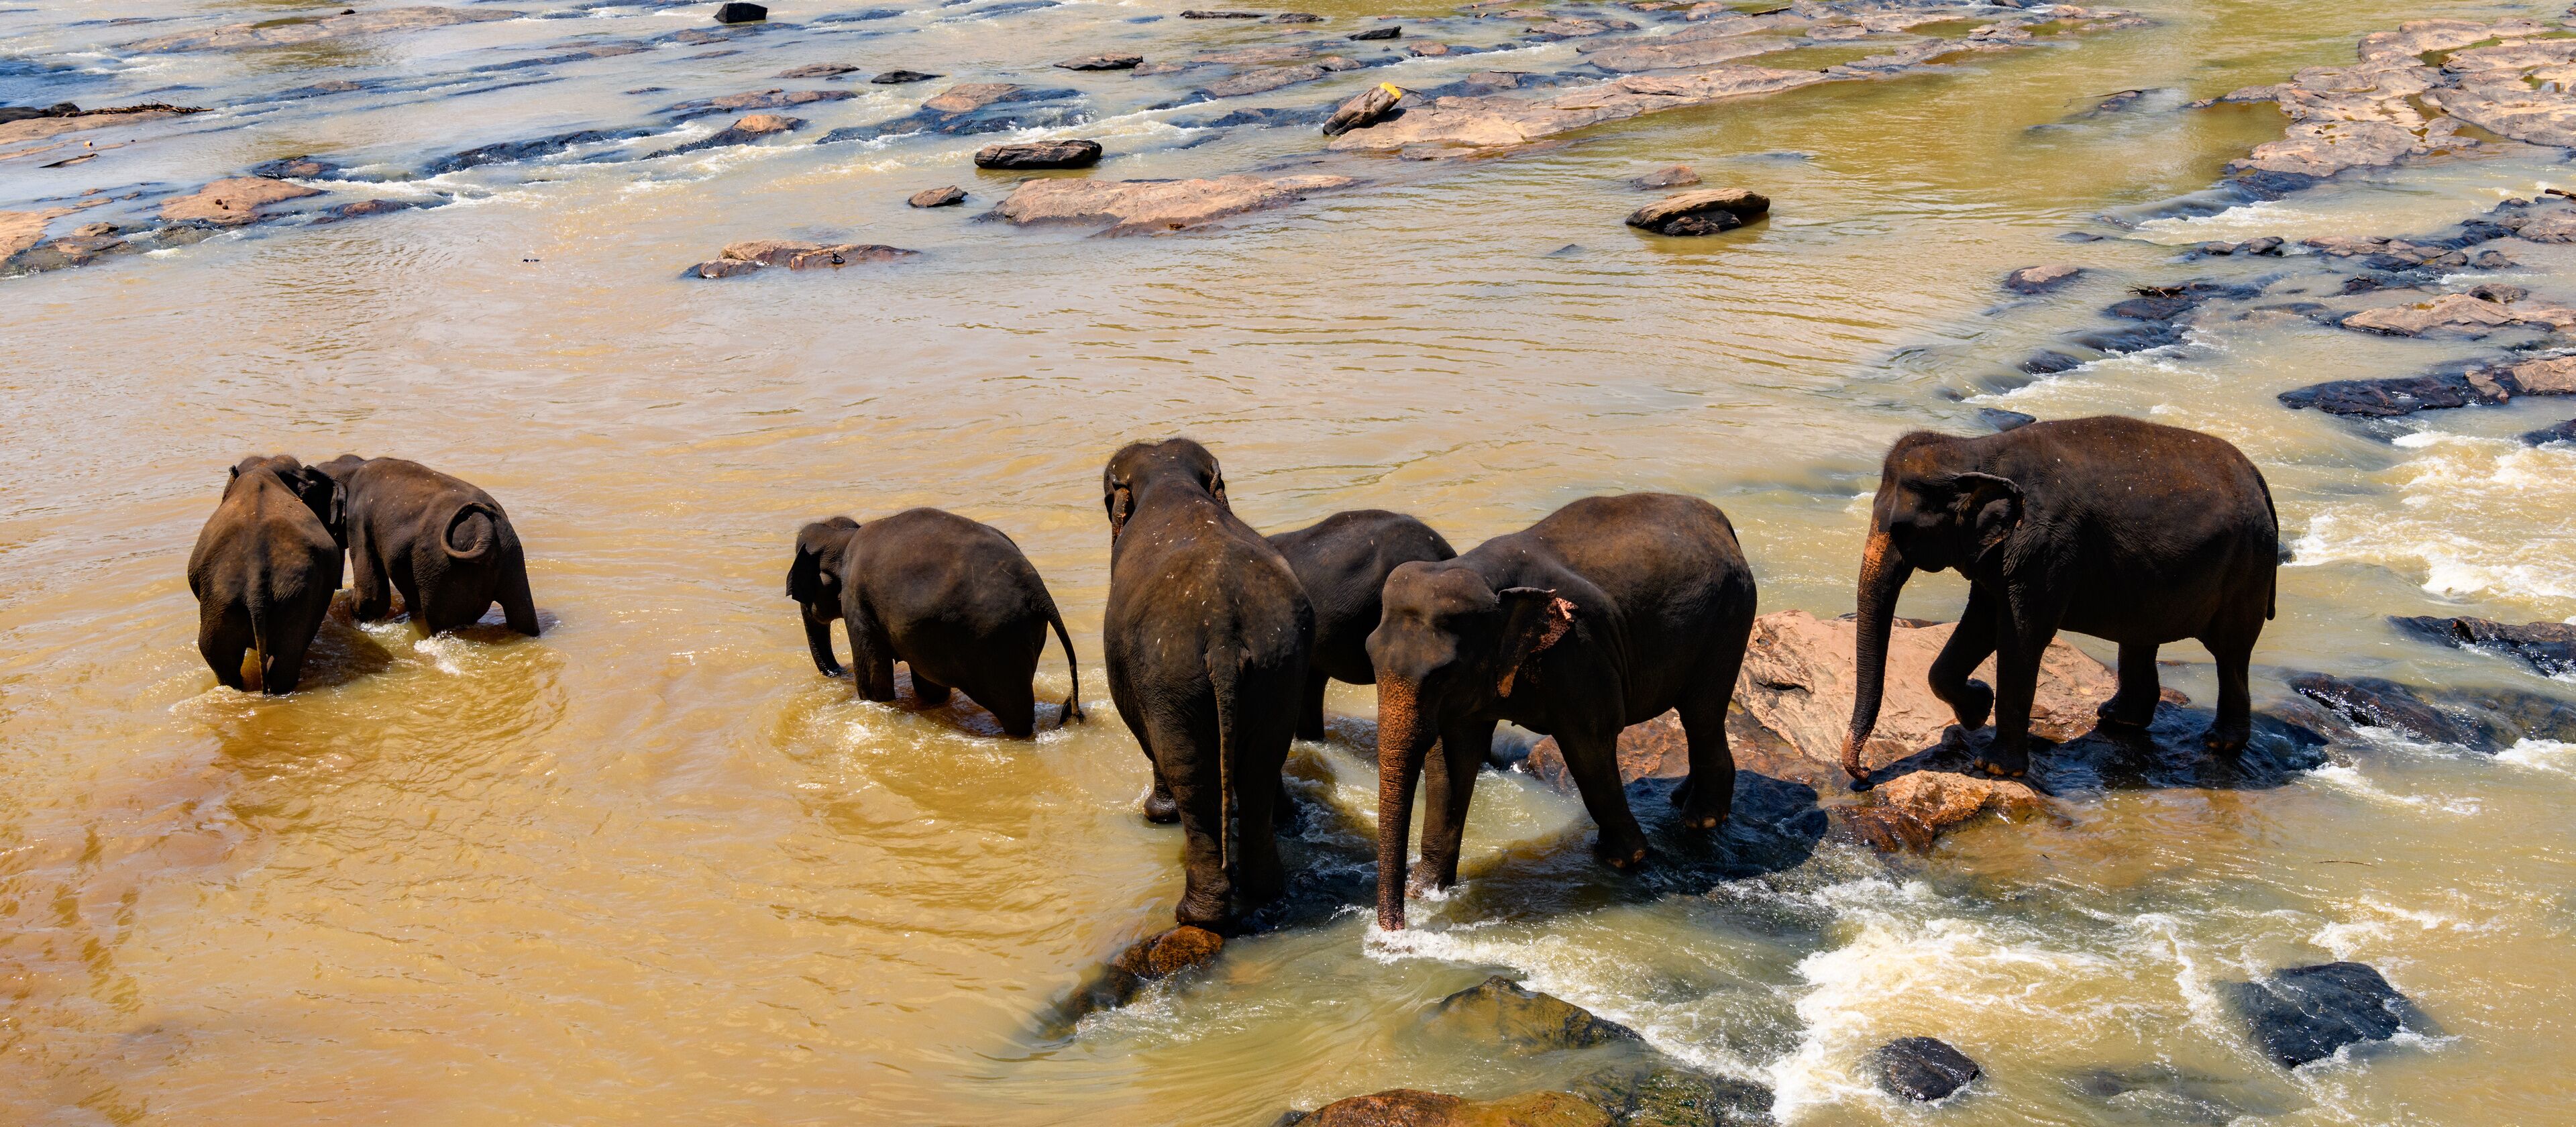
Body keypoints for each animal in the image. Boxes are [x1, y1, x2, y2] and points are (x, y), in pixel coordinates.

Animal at [314, 456, 538, 637]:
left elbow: (372, 599)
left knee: (443, 622)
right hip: (511, 556)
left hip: (442, 569)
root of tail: (483, 525)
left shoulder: (358, 521)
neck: (354, 466)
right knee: (523, 615)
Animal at [787, 508, 1084, 739]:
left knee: (1016, 712)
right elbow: (930, 686)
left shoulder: (858, 604)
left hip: (998, 645)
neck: (842, 538)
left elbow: (874, 686)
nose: (840, 671)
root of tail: (1037, 589)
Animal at [1101, 439, 1314, 928]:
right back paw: (1264, 891)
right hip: (1280, 665)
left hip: (1169, 674)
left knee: (1188, 771)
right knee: (1261, 766)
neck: (1170, 480)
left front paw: (1157, 815)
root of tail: (1222, 632)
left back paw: (1196, 915)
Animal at [1367, 493, 1757, 930]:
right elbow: (1452, 761)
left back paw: (1702, 819)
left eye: (1441, 676)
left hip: (1729, 619)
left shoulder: (1579, 653)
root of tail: (1723, 525)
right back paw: (1680, 799)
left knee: (1701, 715)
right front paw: (1428, 889)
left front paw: (1623, 858)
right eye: (1369, 656)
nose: (1397, 932)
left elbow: (1590, 746)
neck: (1481, 573)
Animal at [1839, 415, 2278, 788]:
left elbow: (2020, 637)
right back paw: (2118, 719)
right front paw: (1977, 708)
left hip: (2248, 566)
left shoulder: (2043, 548)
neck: (1975, 450)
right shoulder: (1998, 553)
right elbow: (1982, 621)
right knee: (2140, 638)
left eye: (1902, 530)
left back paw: (2220, 743)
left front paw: (1995, 767)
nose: (1865, 774)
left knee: (2230, 652)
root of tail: (2259, 477)